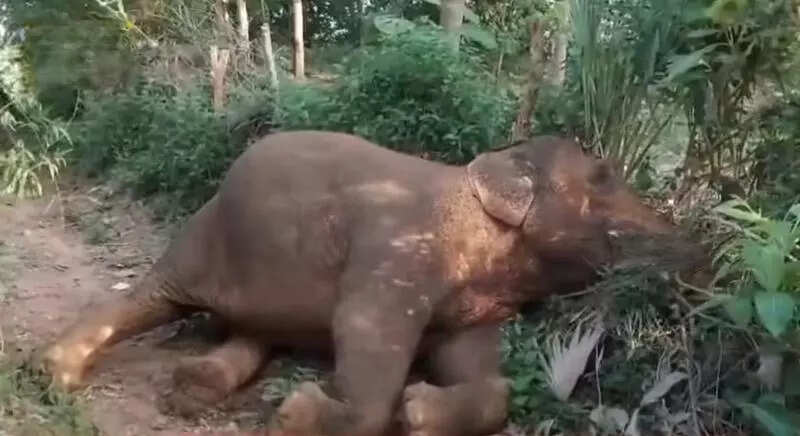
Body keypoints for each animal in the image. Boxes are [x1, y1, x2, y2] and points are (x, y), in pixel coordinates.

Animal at [37, 131, 706, 436]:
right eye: (603, 176)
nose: (702, 245)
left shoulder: (474, 308)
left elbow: (483, 375)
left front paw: (421, 410)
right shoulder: (396, 250)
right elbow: (366, 336)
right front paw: (298, 414)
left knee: (252, 334)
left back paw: (193, 389)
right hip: (200, 235)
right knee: (150, 296)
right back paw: (55, 374)